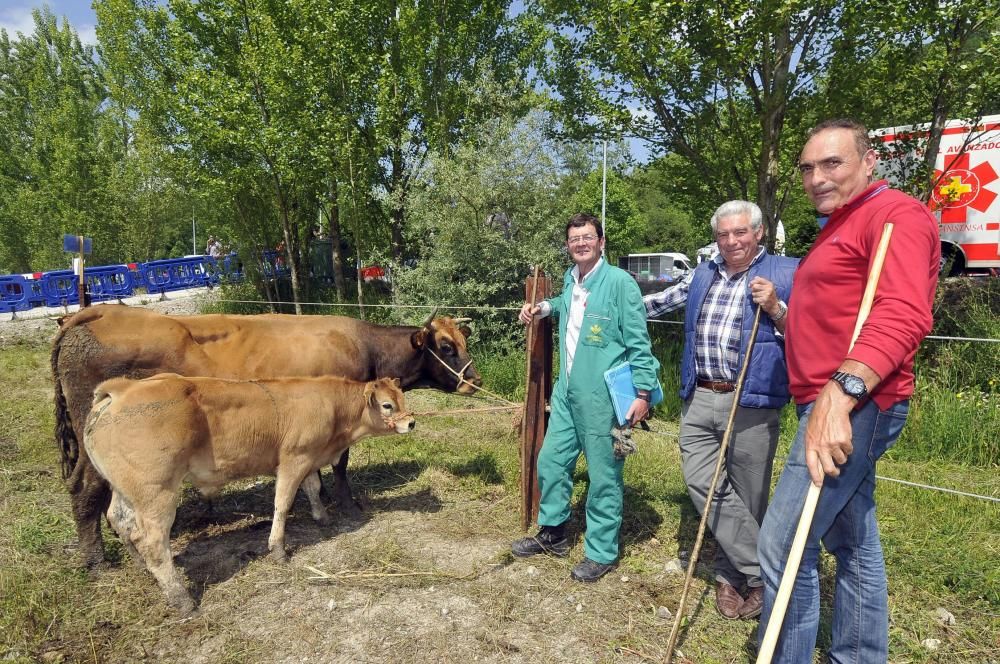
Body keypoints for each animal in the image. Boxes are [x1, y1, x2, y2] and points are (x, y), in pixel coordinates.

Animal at [52, 304, 482, 568]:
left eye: (464, 341)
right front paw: (346, 503)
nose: (474, 381)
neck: (364, 346)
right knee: (84, 488)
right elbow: (340, 465)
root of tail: (96, 312)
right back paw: (95, 560)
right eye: (446, 346)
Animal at [83, 370, 414, 616]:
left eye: (402, 399)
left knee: (119, 520)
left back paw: (142, 569)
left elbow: (312, 487)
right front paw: (278, 549)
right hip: (157, 493)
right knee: (152, 542)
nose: (411, 422)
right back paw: (181, 599)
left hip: (126, 490)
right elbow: (283, 502)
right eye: (387, 405)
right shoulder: (294, 458)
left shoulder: (308, 458)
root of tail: (122, 389)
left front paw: (322, 517)